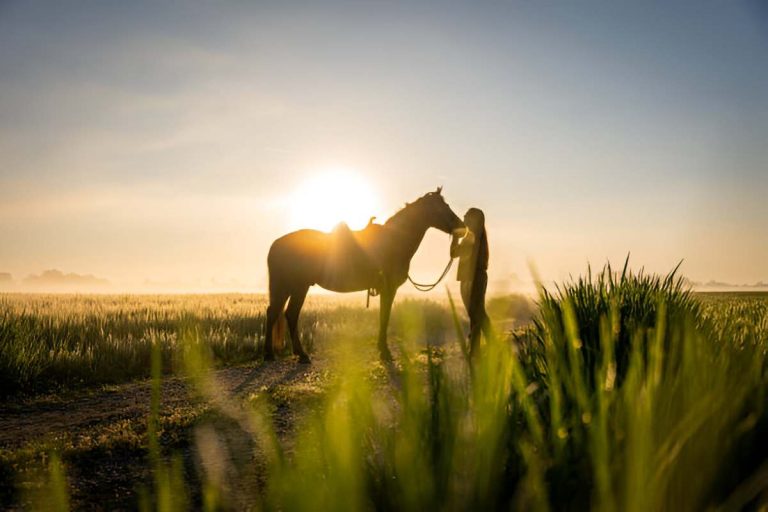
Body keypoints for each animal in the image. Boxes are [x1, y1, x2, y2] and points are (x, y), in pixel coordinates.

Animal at [268, 186, 464, 362]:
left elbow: (384, 317)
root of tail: (277, 243)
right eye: (442, 207)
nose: (462, 227)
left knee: (278, 312)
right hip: (297, 287)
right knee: (287, 314)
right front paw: (384, 351)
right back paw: (284, 354)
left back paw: (279, 354)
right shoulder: (389, 289)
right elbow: (384, 317)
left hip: (289, 287)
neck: (394, 241)